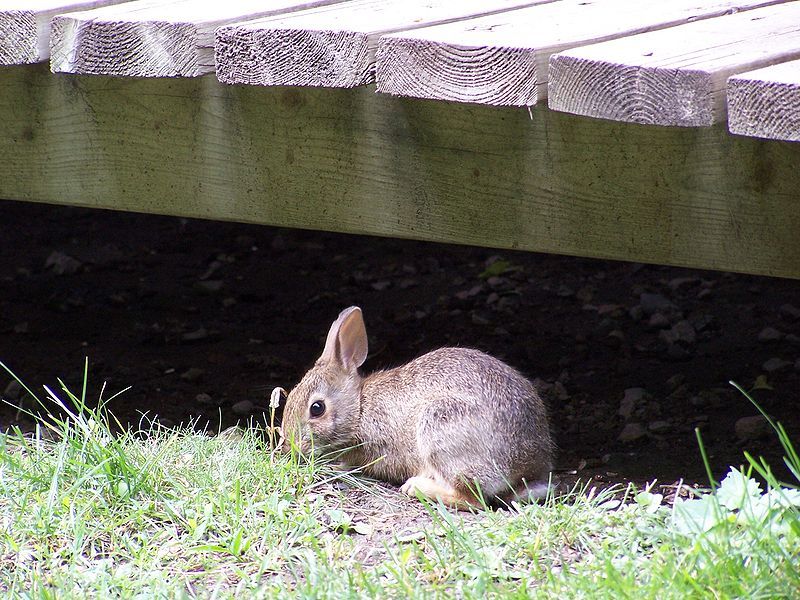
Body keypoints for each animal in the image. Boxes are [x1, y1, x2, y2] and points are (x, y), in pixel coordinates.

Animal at [282, 304, 556, 506]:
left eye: (317, 408)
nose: (290, 447)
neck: (360, 408)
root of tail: (527, 467)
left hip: (439, 426)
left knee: (473, 499)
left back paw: (417, 488)